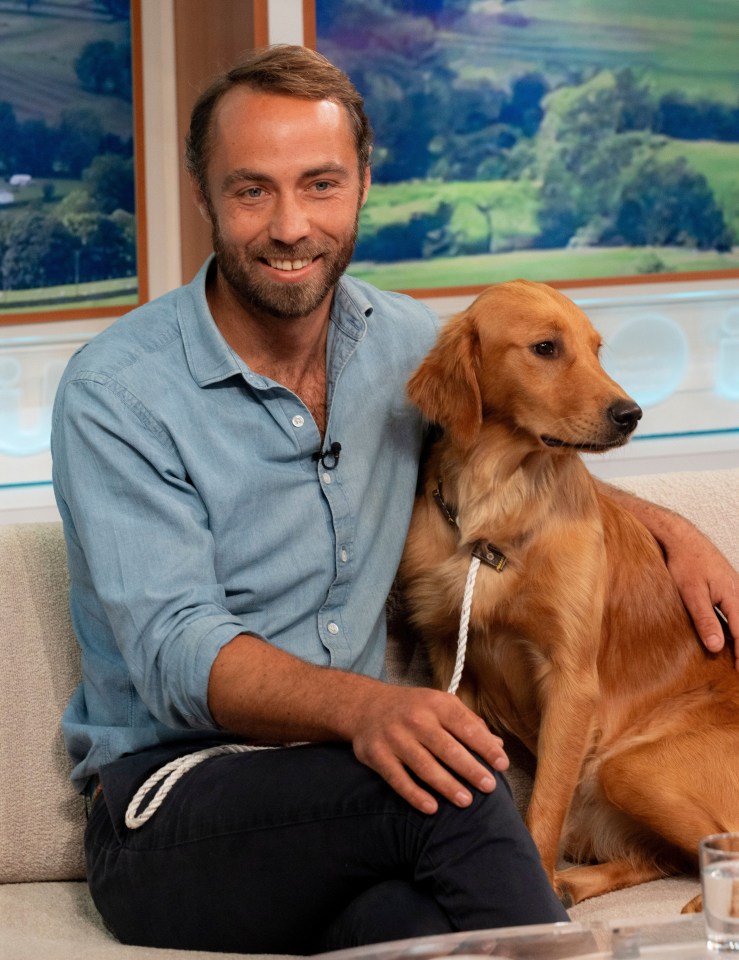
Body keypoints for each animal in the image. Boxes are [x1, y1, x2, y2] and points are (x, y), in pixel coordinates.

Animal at [402, 280, 736, 908]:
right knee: (659, 857)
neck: (500, 500)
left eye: (597, 349)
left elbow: (544, 805)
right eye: (545, 348)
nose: (631, 414)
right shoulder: (448, 661)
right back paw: (573, 884)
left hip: (627, 768)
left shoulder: (571, 678)